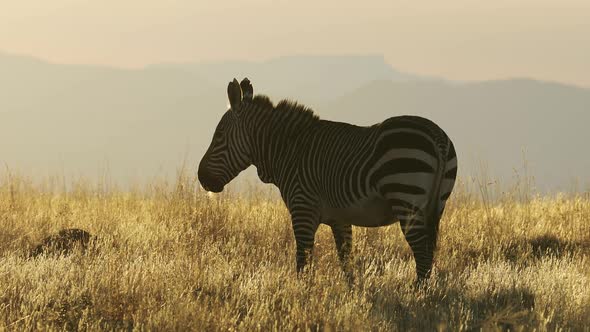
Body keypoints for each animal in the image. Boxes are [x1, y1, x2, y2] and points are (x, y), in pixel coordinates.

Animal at [199, 78, 458, 282]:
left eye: (219, 136)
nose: (202, 178)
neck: (289, 150)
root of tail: (437, 137)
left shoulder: (303, 210)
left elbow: (302, 262)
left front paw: (302, 297)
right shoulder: (340, 219)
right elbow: (346, 261)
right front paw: (353, 297)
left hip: (406, 198)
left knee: (422, 255)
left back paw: (417, 295)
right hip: (436, 205)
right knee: (428, 253)